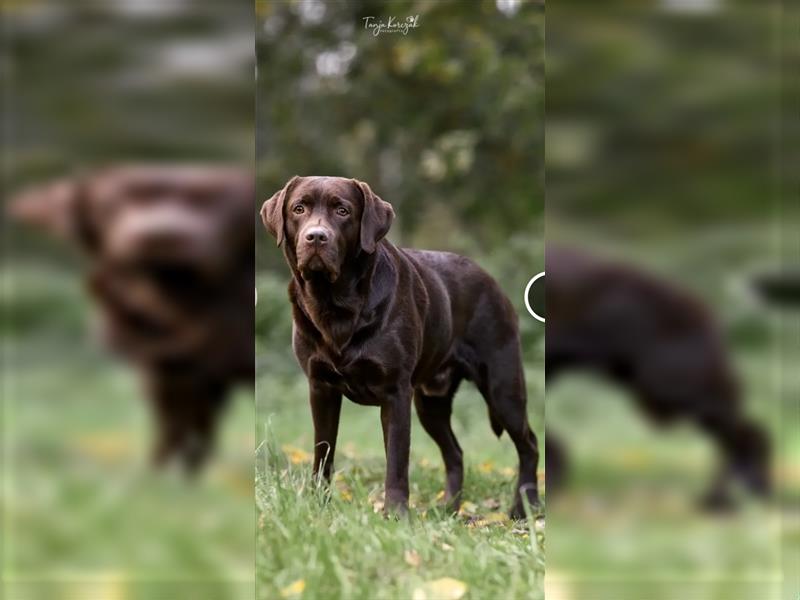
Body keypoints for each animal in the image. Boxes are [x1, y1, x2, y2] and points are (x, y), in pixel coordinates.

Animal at [9, 166, 253, 472]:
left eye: (211, 200)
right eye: (118, 200)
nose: (162, 235)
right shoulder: (170, 371)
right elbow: (180, 428)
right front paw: (163, 476)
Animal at [260, 176, 540, 516]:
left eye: (343, 211)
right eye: (299, 208)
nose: (316, 237)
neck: (337, 305)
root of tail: (492, 281)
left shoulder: (395, 393)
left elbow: (396, 460)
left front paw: (395, 514)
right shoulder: (321, 388)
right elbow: (323, 452)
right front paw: (319, 506)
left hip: (503, 389)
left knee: (529, 445)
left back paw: (525, 508)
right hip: (430, 404)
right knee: (455, 452)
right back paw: (448, 509)